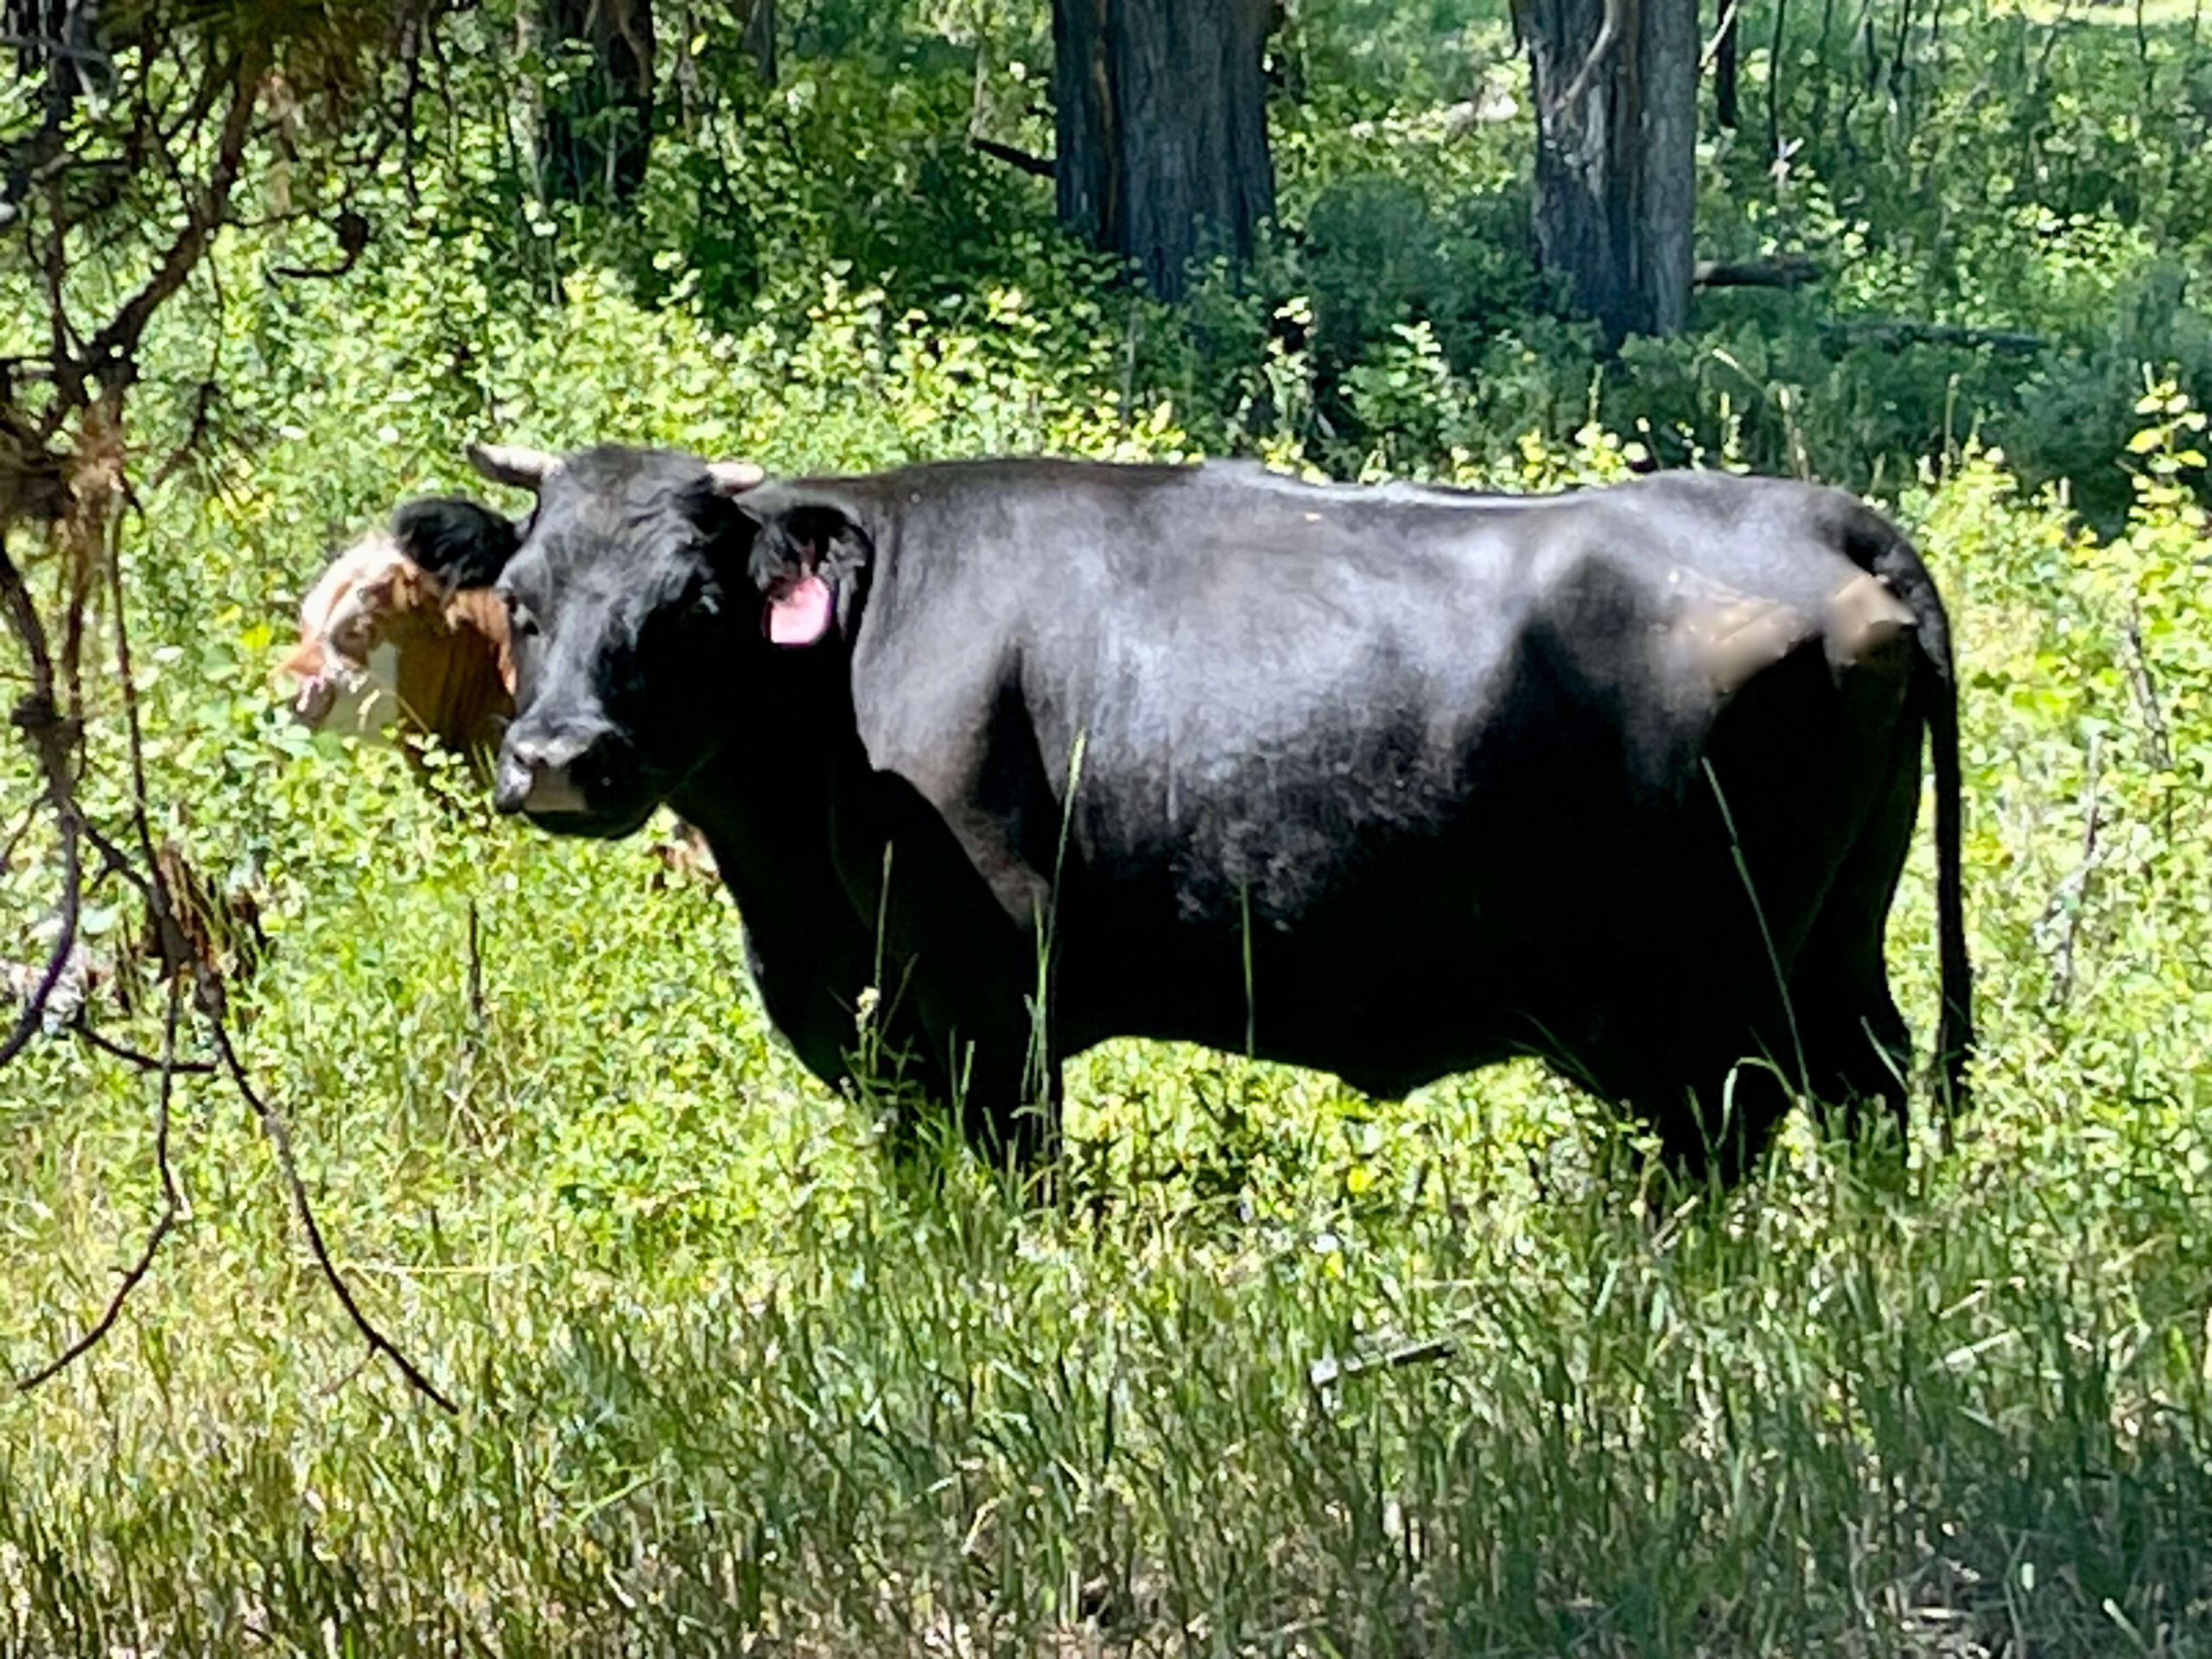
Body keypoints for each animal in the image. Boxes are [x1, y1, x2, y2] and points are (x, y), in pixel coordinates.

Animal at [388, 440, 1971, 1185]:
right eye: (522, 600)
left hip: (1716, 981)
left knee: (1734, 1128)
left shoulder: (986, 997)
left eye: (695, 607)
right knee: (1870, 1092)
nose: (560, 758)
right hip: (1835, 946)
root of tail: (1825, 515)